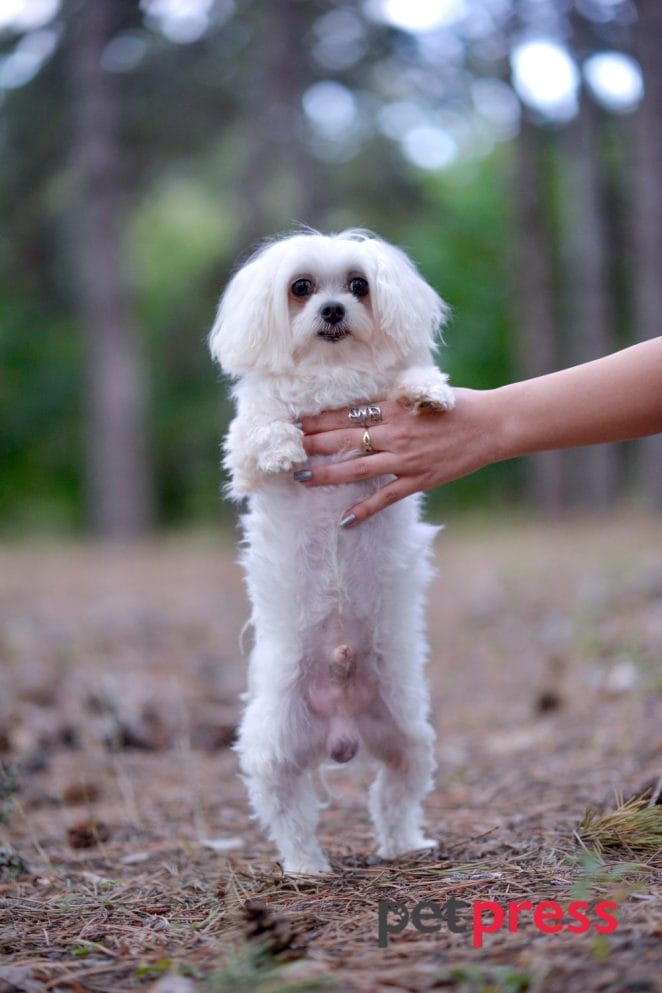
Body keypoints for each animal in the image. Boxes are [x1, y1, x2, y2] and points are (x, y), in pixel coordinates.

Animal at [209, 229, 456, 872]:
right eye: (300, 287)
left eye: (358, 285)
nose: (333, 311)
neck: (333, 375)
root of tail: (342, 732)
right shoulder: (242, 450)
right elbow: (262, 428)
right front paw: (283, 449)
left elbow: (409, 382)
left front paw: (429, 393)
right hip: (274, 746)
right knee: (289, 813)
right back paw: (306, 865)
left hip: (406, 734)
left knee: (394, 796)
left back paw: (406, 846)